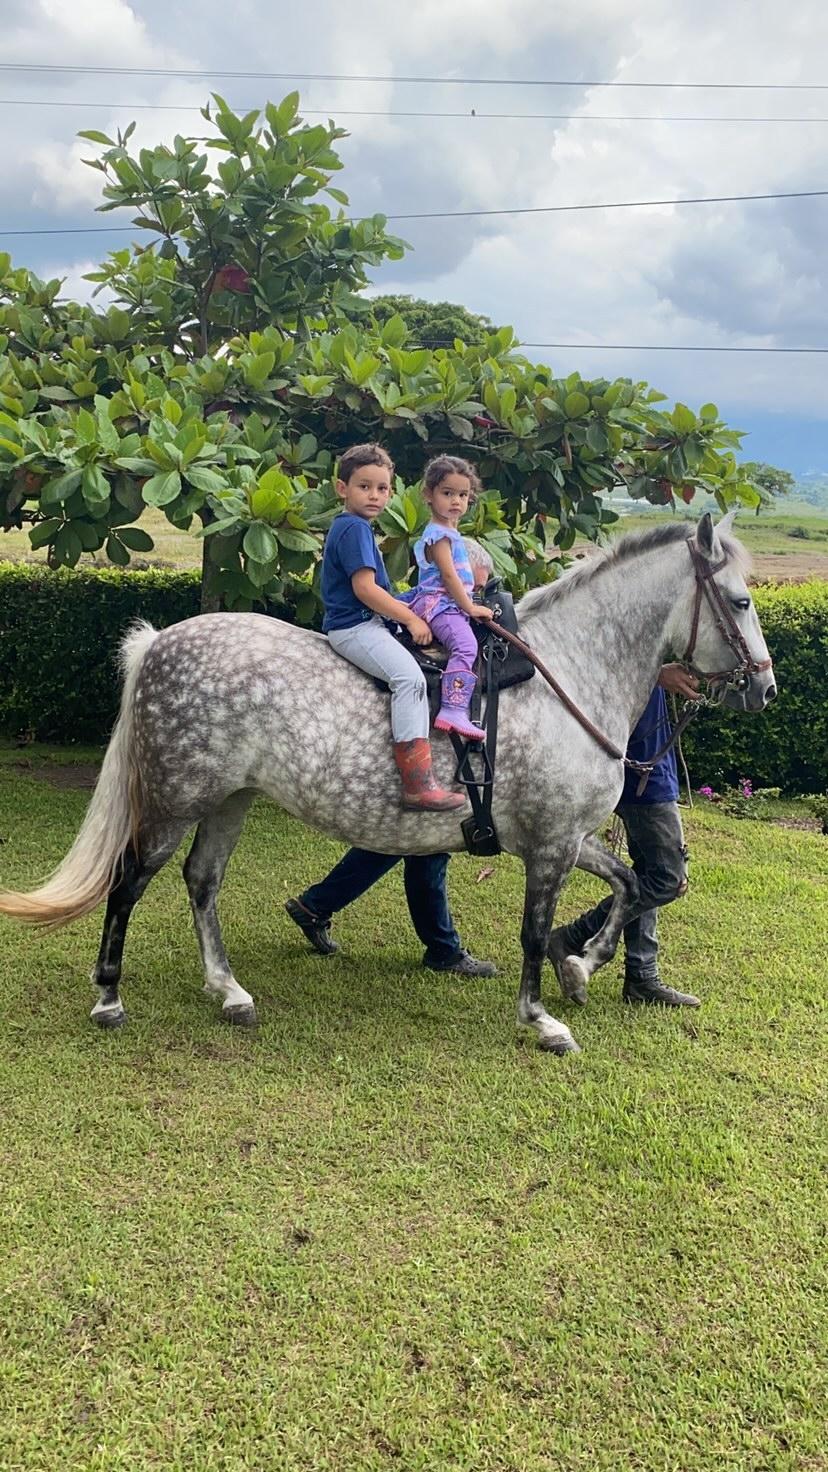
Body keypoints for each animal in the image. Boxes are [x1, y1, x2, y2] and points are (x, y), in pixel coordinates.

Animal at [0, 513, 775, 1054]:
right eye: (739, 602)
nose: (764, 687)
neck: (565, 675)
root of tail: (159, 641)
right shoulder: (551, 846)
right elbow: (535, 931)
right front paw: (542, 1017)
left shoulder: (565, 837)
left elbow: (630, 882)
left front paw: (583, 966)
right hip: (174, 800)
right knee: (129, 881)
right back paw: (109, 999)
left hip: (229, 801)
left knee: (202, 882)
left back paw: (228, 991)